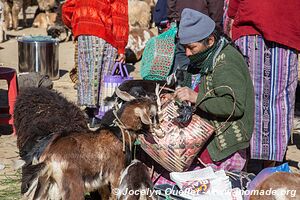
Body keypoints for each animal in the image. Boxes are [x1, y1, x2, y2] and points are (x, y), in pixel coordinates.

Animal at [22, 97, 158, 200]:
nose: (154, 100)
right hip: (74, 186)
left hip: (46, 184)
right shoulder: (116, 174)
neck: (120, 134)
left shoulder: (102, 180)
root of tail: (48, 157)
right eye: (148, 105)